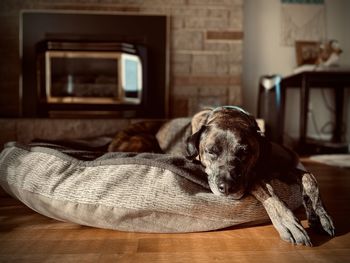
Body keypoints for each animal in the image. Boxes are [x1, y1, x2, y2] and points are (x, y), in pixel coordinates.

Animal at [108, 106, 334, 246]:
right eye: (211, 151)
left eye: (244, 152)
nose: (226, 187)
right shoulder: (254, 177)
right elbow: (266, 189)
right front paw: (288, 223)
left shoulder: (276, 167)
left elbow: (309, 178)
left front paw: (320, 217)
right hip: (143, 139)